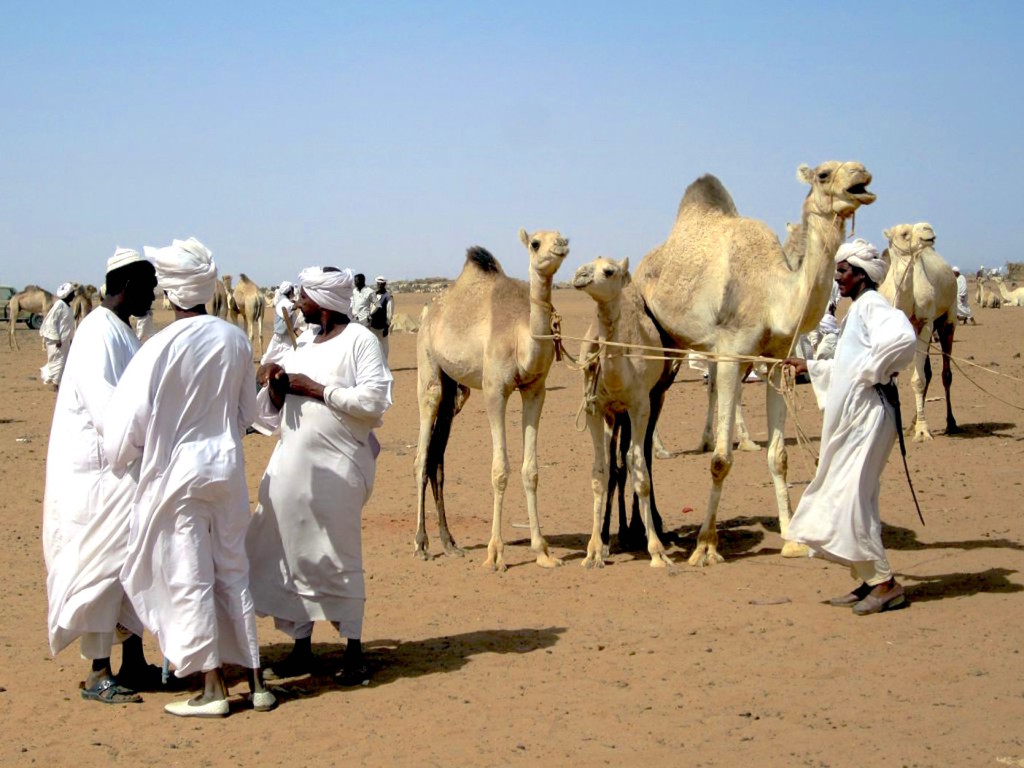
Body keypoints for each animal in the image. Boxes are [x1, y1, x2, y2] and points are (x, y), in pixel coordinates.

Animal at [417, 228, 577, 573]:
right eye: (535, 243)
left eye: (562, 235)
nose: (561, 246)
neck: (521, 334)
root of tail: (429, 311)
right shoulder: (495, 390)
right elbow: (499, 470)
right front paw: (495, 554)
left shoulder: (535, 390)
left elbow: (531, 470)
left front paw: (543, 551)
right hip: (429, 368)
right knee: (422, 454)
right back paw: (421, 544)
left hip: (455, 389)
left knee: (437, 456)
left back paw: (449, 543)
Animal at [573, 256, 675, 569]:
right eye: (584, 264)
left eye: (608, 271)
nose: (579, 275)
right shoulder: (596, 408)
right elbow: (601, 471)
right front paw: (595, 549)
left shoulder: (640, 404)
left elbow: (639, 470)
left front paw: (656, 550)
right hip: (614, 416)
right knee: (616, 464)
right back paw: (615, 534)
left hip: (656, 398)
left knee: (639, 458)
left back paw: (643, 529)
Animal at [630, 159, 872, 565]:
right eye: (823, 174)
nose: (862, 175)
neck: (772, 295)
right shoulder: (730, 354)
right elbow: (720, 459)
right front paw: (706, 545)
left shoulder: (775, 361)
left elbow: (779, 456)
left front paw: (791, 538)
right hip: (659, 340)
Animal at [880, 221, 958, 438]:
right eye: (904, 234)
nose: (927, 228)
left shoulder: (926, 323)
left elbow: (918, 379)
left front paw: (923, 431)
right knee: (928, 371)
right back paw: (912, 423)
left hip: (946, 320)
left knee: (945, 374)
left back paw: (950, 423)